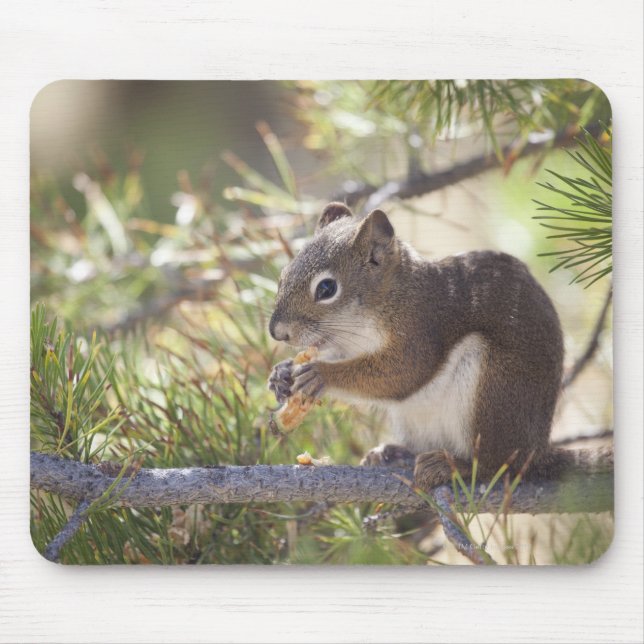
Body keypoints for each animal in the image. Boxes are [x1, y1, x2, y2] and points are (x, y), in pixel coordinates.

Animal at [268, 202, 608, 489]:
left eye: (327, 288)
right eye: (283, 275)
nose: (276, 332)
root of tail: (536, 452)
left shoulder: (420, 330)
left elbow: (402, 375)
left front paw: (321, 374)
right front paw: (281, 375)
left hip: (494, 390)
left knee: (498, 467)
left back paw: (455, 467)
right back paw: (394, 453)